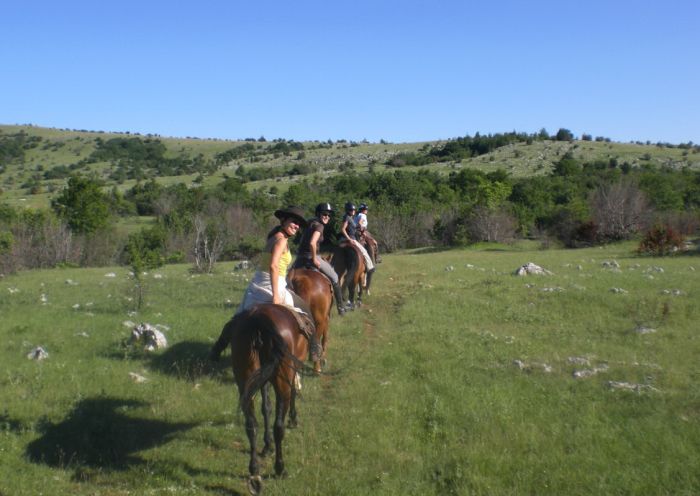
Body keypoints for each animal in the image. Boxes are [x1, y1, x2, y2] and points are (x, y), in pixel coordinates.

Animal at [209, 302, 322, 492]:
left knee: (251, 425)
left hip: (246, 379)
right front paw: (293, 419)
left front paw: (267, 445)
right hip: (281, 378)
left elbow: (266, 407)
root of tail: (258, 320)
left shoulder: (261, 379)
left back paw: (255, 473)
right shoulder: (291, 370)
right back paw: (280, 468)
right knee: (278, 426)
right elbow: (292, 394)